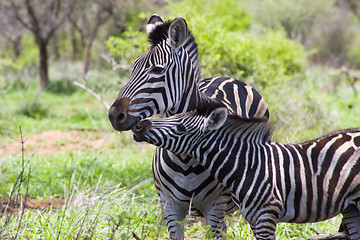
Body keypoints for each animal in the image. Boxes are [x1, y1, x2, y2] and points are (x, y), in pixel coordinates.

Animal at [108, 15, 268, 240]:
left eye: (157, 70)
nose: (114, 115)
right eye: (133, 68)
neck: (184, 158)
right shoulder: (169, 206)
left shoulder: (215, 206)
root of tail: (229, 79)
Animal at [132, 104, 360, 240]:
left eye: (181, 128)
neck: (248, 165)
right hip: (351, 208)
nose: (138, 125)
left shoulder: (267, 215)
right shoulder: (253, 218)